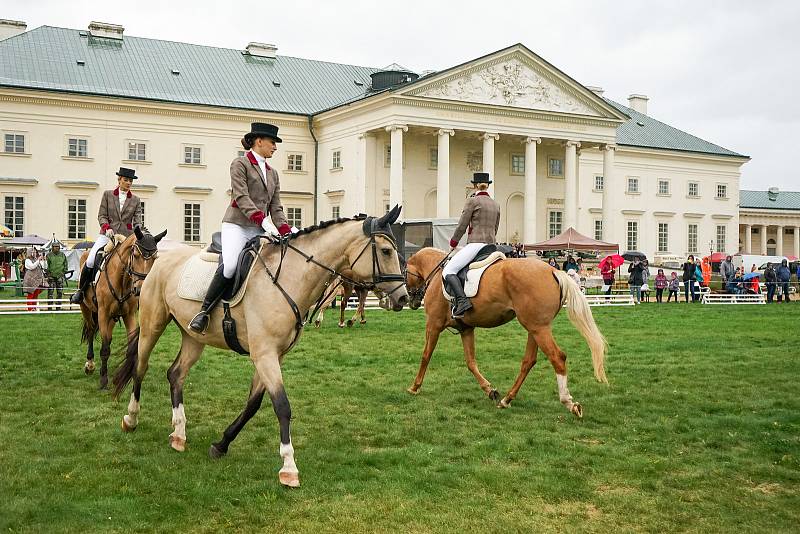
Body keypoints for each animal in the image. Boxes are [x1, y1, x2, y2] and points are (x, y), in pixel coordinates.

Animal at [78, 227, 166, 390]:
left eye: (155, 258)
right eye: (136, 255)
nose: (140, 289)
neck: (122, 280)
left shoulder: (129, 314)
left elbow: (129, 348)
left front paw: (126, 376)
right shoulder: (103, 314)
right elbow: (105, 349)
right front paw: (103, 380)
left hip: (112, 317)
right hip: (86, 308)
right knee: (91, 330)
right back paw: (90, 364)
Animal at [112, 209, 410, 490]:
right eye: (386, 251)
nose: (403, 298)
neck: (289, 279)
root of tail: (160, 259)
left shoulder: (273, 355)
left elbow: (253, 404)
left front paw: (221, 444)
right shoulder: (264, 354)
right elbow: (282, 406)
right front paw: (289, 468)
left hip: (194, 337)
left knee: (175, 374)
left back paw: (178, 433)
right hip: (152, 325)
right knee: (140, 368)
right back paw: (131, 418)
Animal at [406, 249, 608, 416]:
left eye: (405, 273)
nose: (409, 300)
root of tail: (553, 271)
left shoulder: (433, 325)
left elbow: (426, 355)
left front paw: (415, 387)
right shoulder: (466, 329)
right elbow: (471, 362)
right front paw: (490, 391)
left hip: (538, 328)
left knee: (557, 357)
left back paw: (568, 402)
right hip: (536, 328)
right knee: (528, 361)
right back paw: (506, 399)